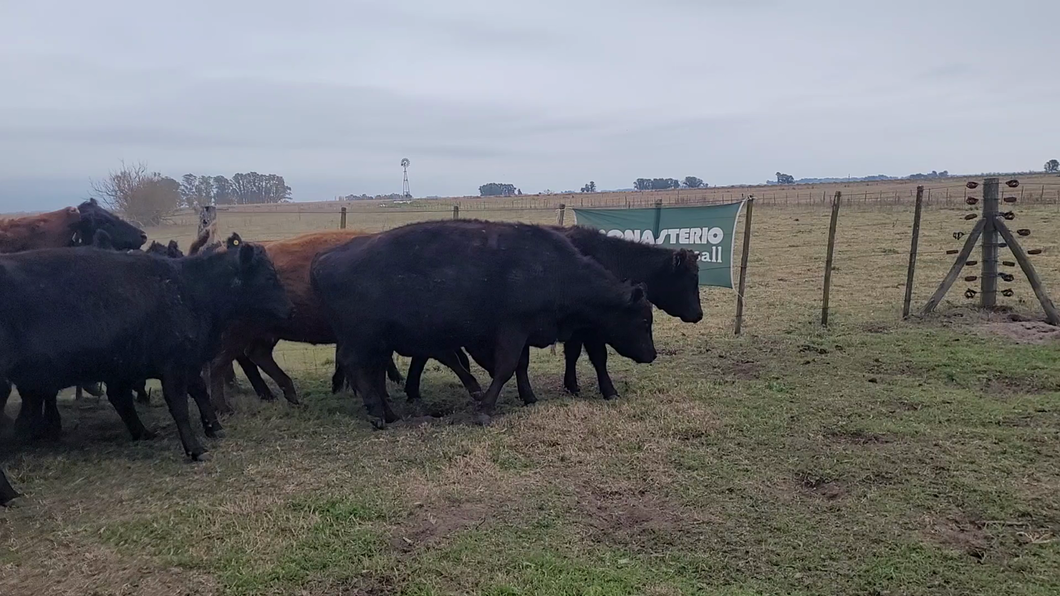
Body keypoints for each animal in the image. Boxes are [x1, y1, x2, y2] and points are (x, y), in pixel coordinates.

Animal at [0, 234, 292, 456]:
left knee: (118, 399)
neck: (189, 289)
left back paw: (141, 432)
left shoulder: (189, 360)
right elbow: (179, 405)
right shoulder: (172, 366)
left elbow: (200, 392)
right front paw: (194, 448)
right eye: (269, 277)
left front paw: (214, 428)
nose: (290, 308)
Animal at [309, 220, 652, 424]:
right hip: (361, 339)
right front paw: (485, 409)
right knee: (356, 366)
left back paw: (388, 412)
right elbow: (505, 368)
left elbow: (519, 366)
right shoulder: (512, 331)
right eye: (645, 320)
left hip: (377, 342)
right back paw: (378, 414)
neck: (551, 269)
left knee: (372, 372)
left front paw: (528, 397)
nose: (652, 354)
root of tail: (325, 258)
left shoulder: (520, 334)